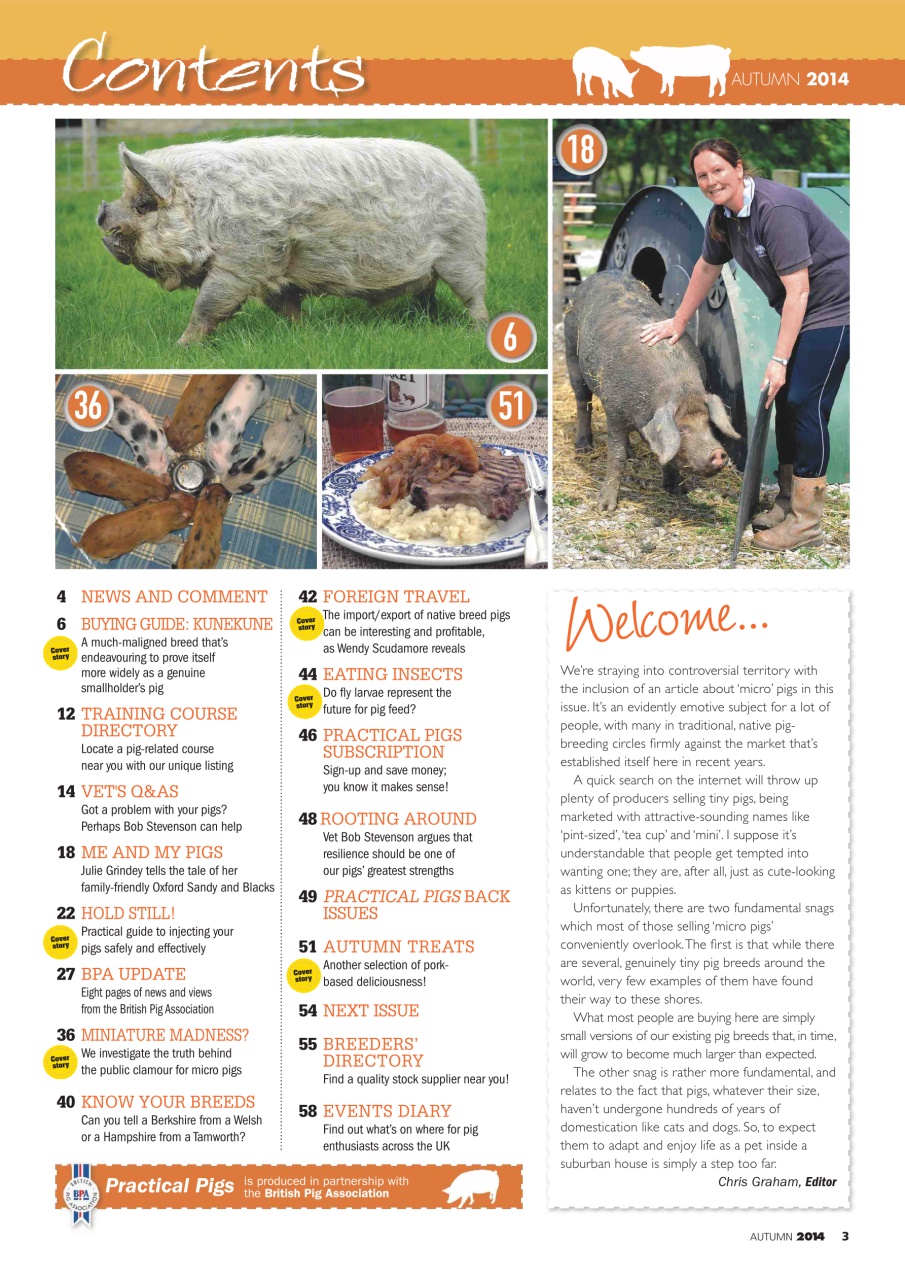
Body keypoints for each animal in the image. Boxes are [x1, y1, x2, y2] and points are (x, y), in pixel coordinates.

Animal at [96, 136, 489, 344]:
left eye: (144, 204)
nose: (102, 213)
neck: (207, 211)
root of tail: (470, 179)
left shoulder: (242, 262)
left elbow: (207, 306)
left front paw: (180, 347)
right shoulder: (275, 271)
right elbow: (287, 307)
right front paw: (303, 335)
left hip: (462, 251)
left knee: (473, 296)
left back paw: (477, 331)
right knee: (427, 293)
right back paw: (427, 321)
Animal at [565, 272, 741, 511]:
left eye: (709, 423)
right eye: (682, 428)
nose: (718, 453)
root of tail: (599, 274)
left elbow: (664, 450)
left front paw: (677, 490)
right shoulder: (615, 412)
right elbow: (616, 457)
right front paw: (605, 507)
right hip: (571, 350)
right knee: (583, 401)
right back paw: (584, 448)